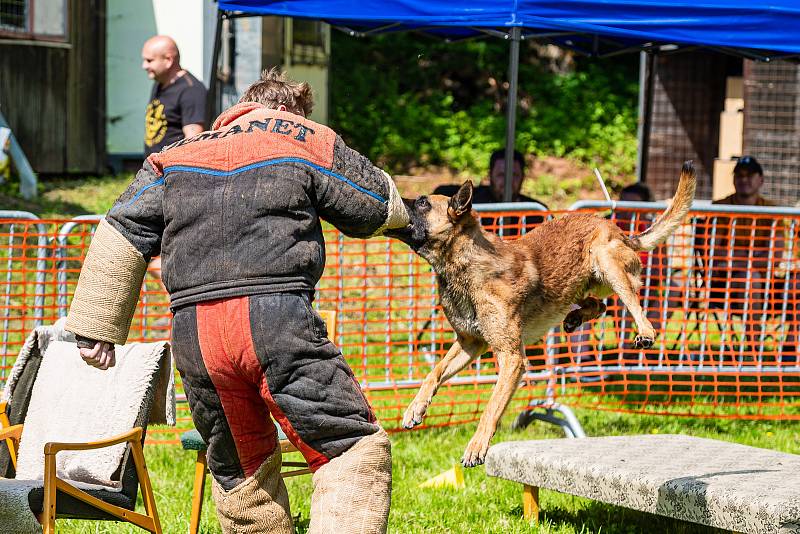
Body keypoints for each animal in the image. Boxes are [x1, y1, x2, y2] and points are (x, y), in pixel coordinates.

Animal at [386, 161, 692, 466]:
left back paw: (644, 332)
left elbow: (491, 407)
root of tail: (618, 230)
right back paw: (575, 318)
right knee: (599, 305)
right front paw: (415, 408)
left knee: (635, 306)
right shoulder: (470, 344)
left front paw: (476, 446)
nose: (393, 199)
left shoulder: (511, 359)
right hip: (575, 286)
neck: (465, 265)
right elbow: (434, 372)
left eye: (423, 202)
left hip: (607, 263)